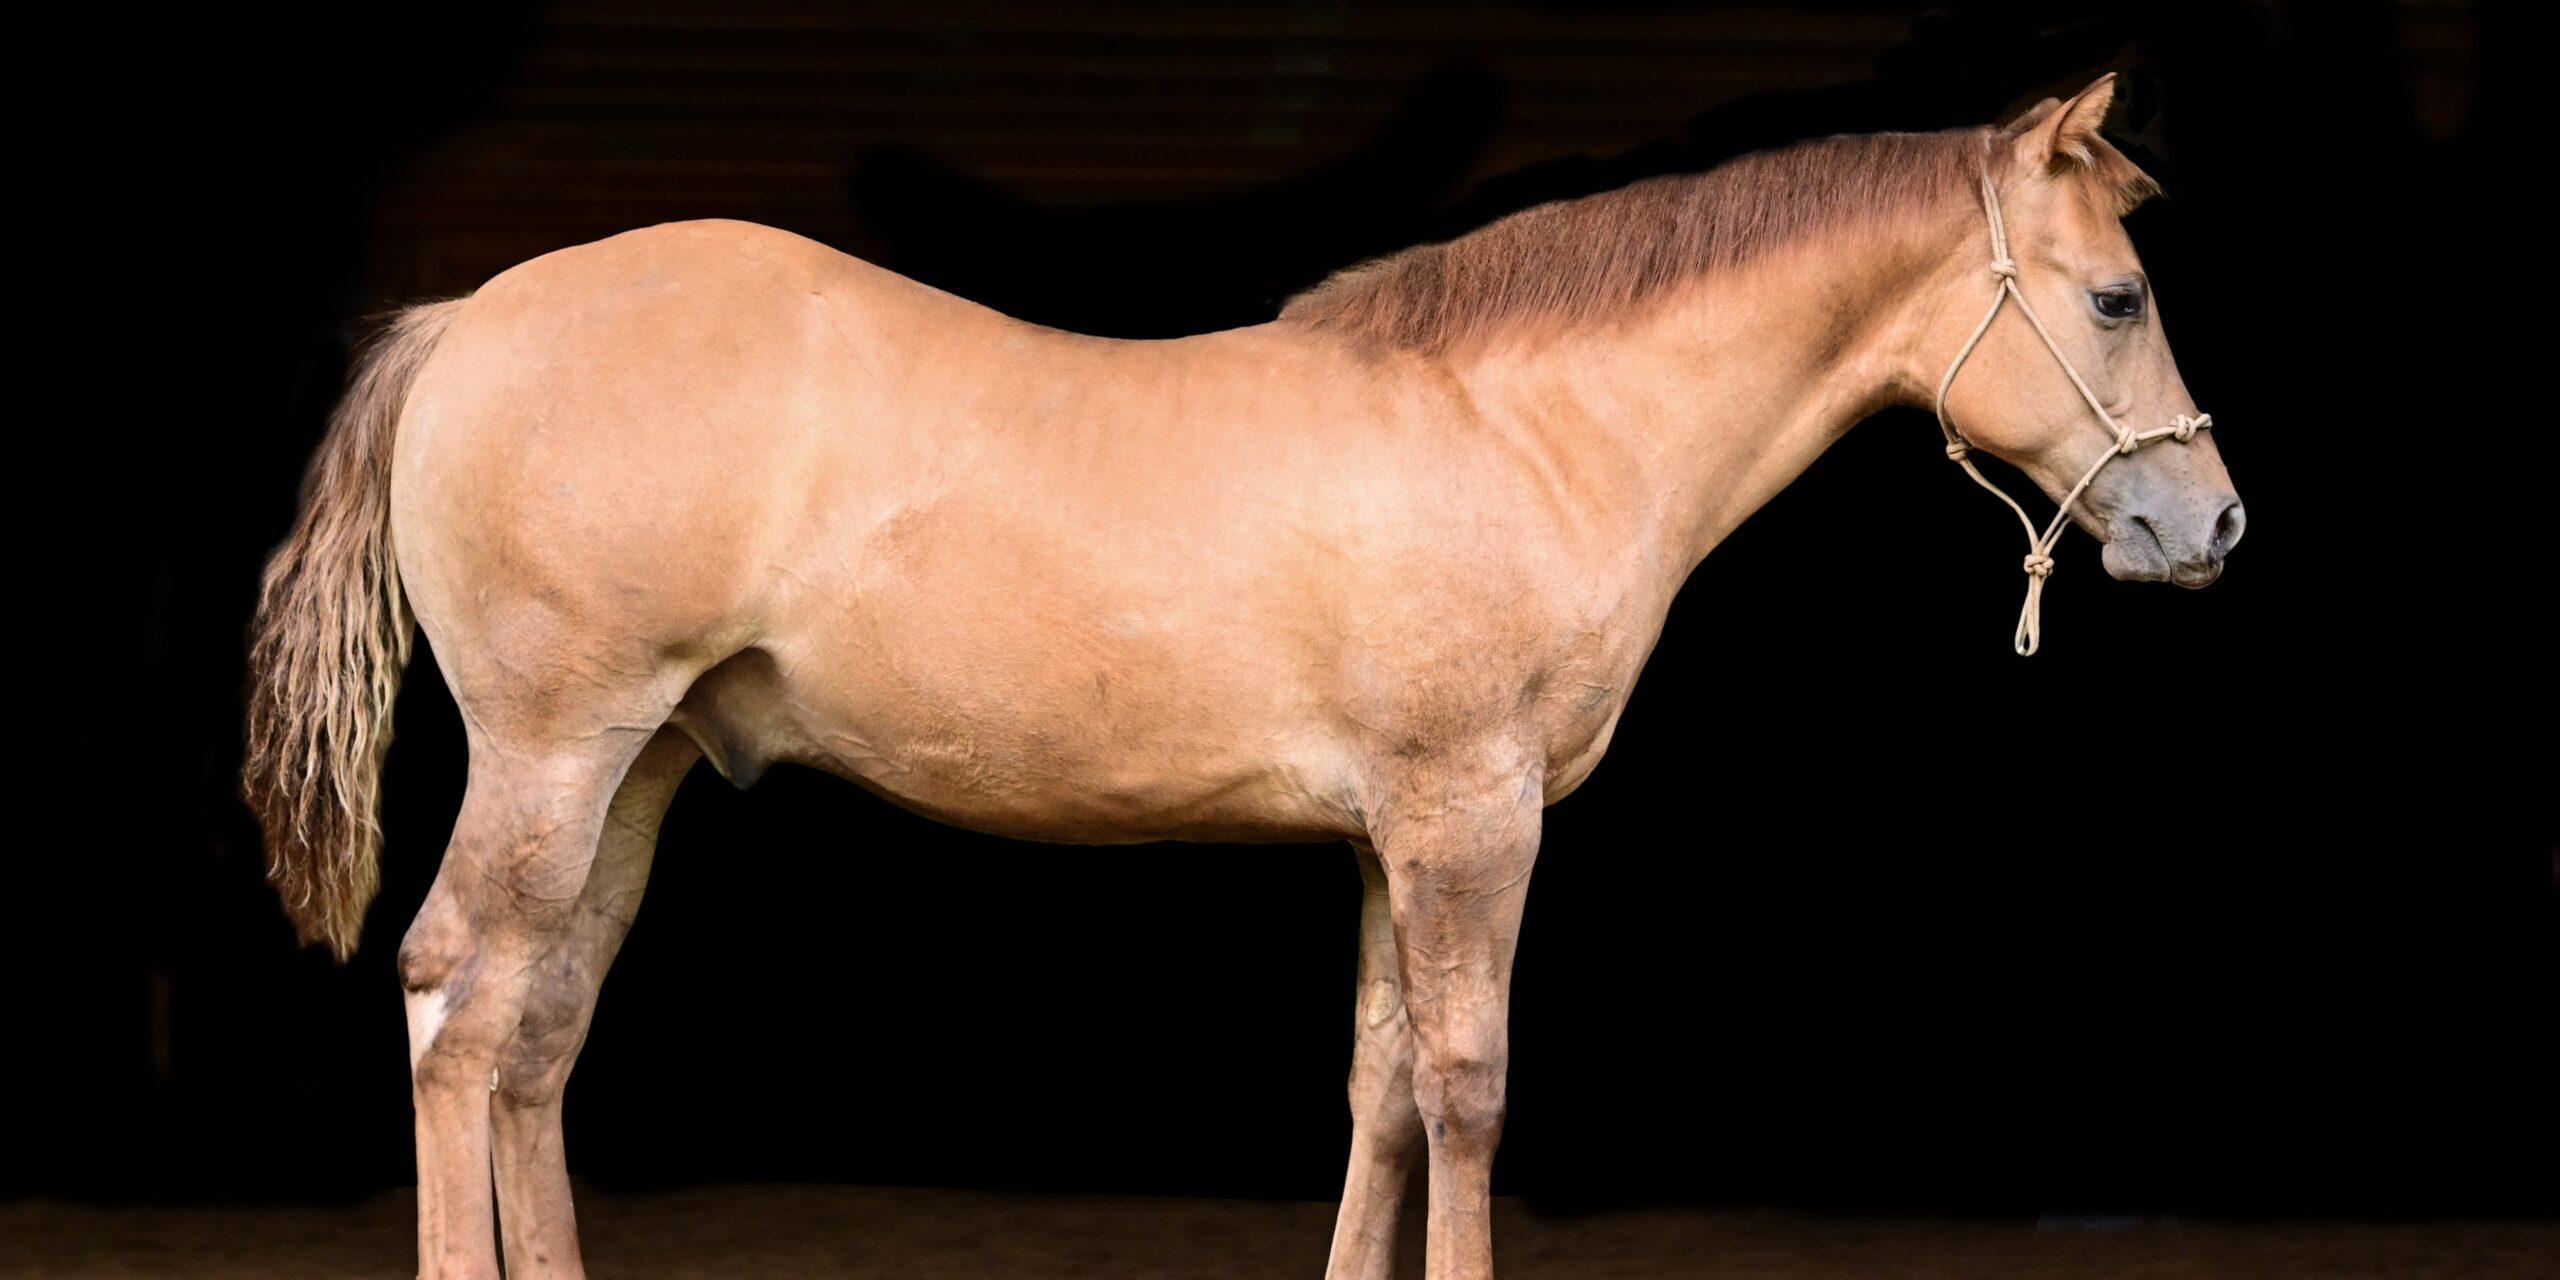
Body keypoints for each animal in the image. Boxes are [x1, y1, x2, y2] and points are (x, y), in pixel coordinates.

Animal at [243, 74, 2241, 1280]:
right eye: (2120, 297)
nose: (2211, 522)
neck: (1525, 426)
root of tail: (470, 319)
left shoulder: (1385, 838)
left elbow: (1377, 1089)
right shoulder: (1469, 822)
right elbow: (1468, 1088)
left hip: (638, 769)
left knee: (537, 1039)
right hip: (555, 751)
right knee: (458, 1005)